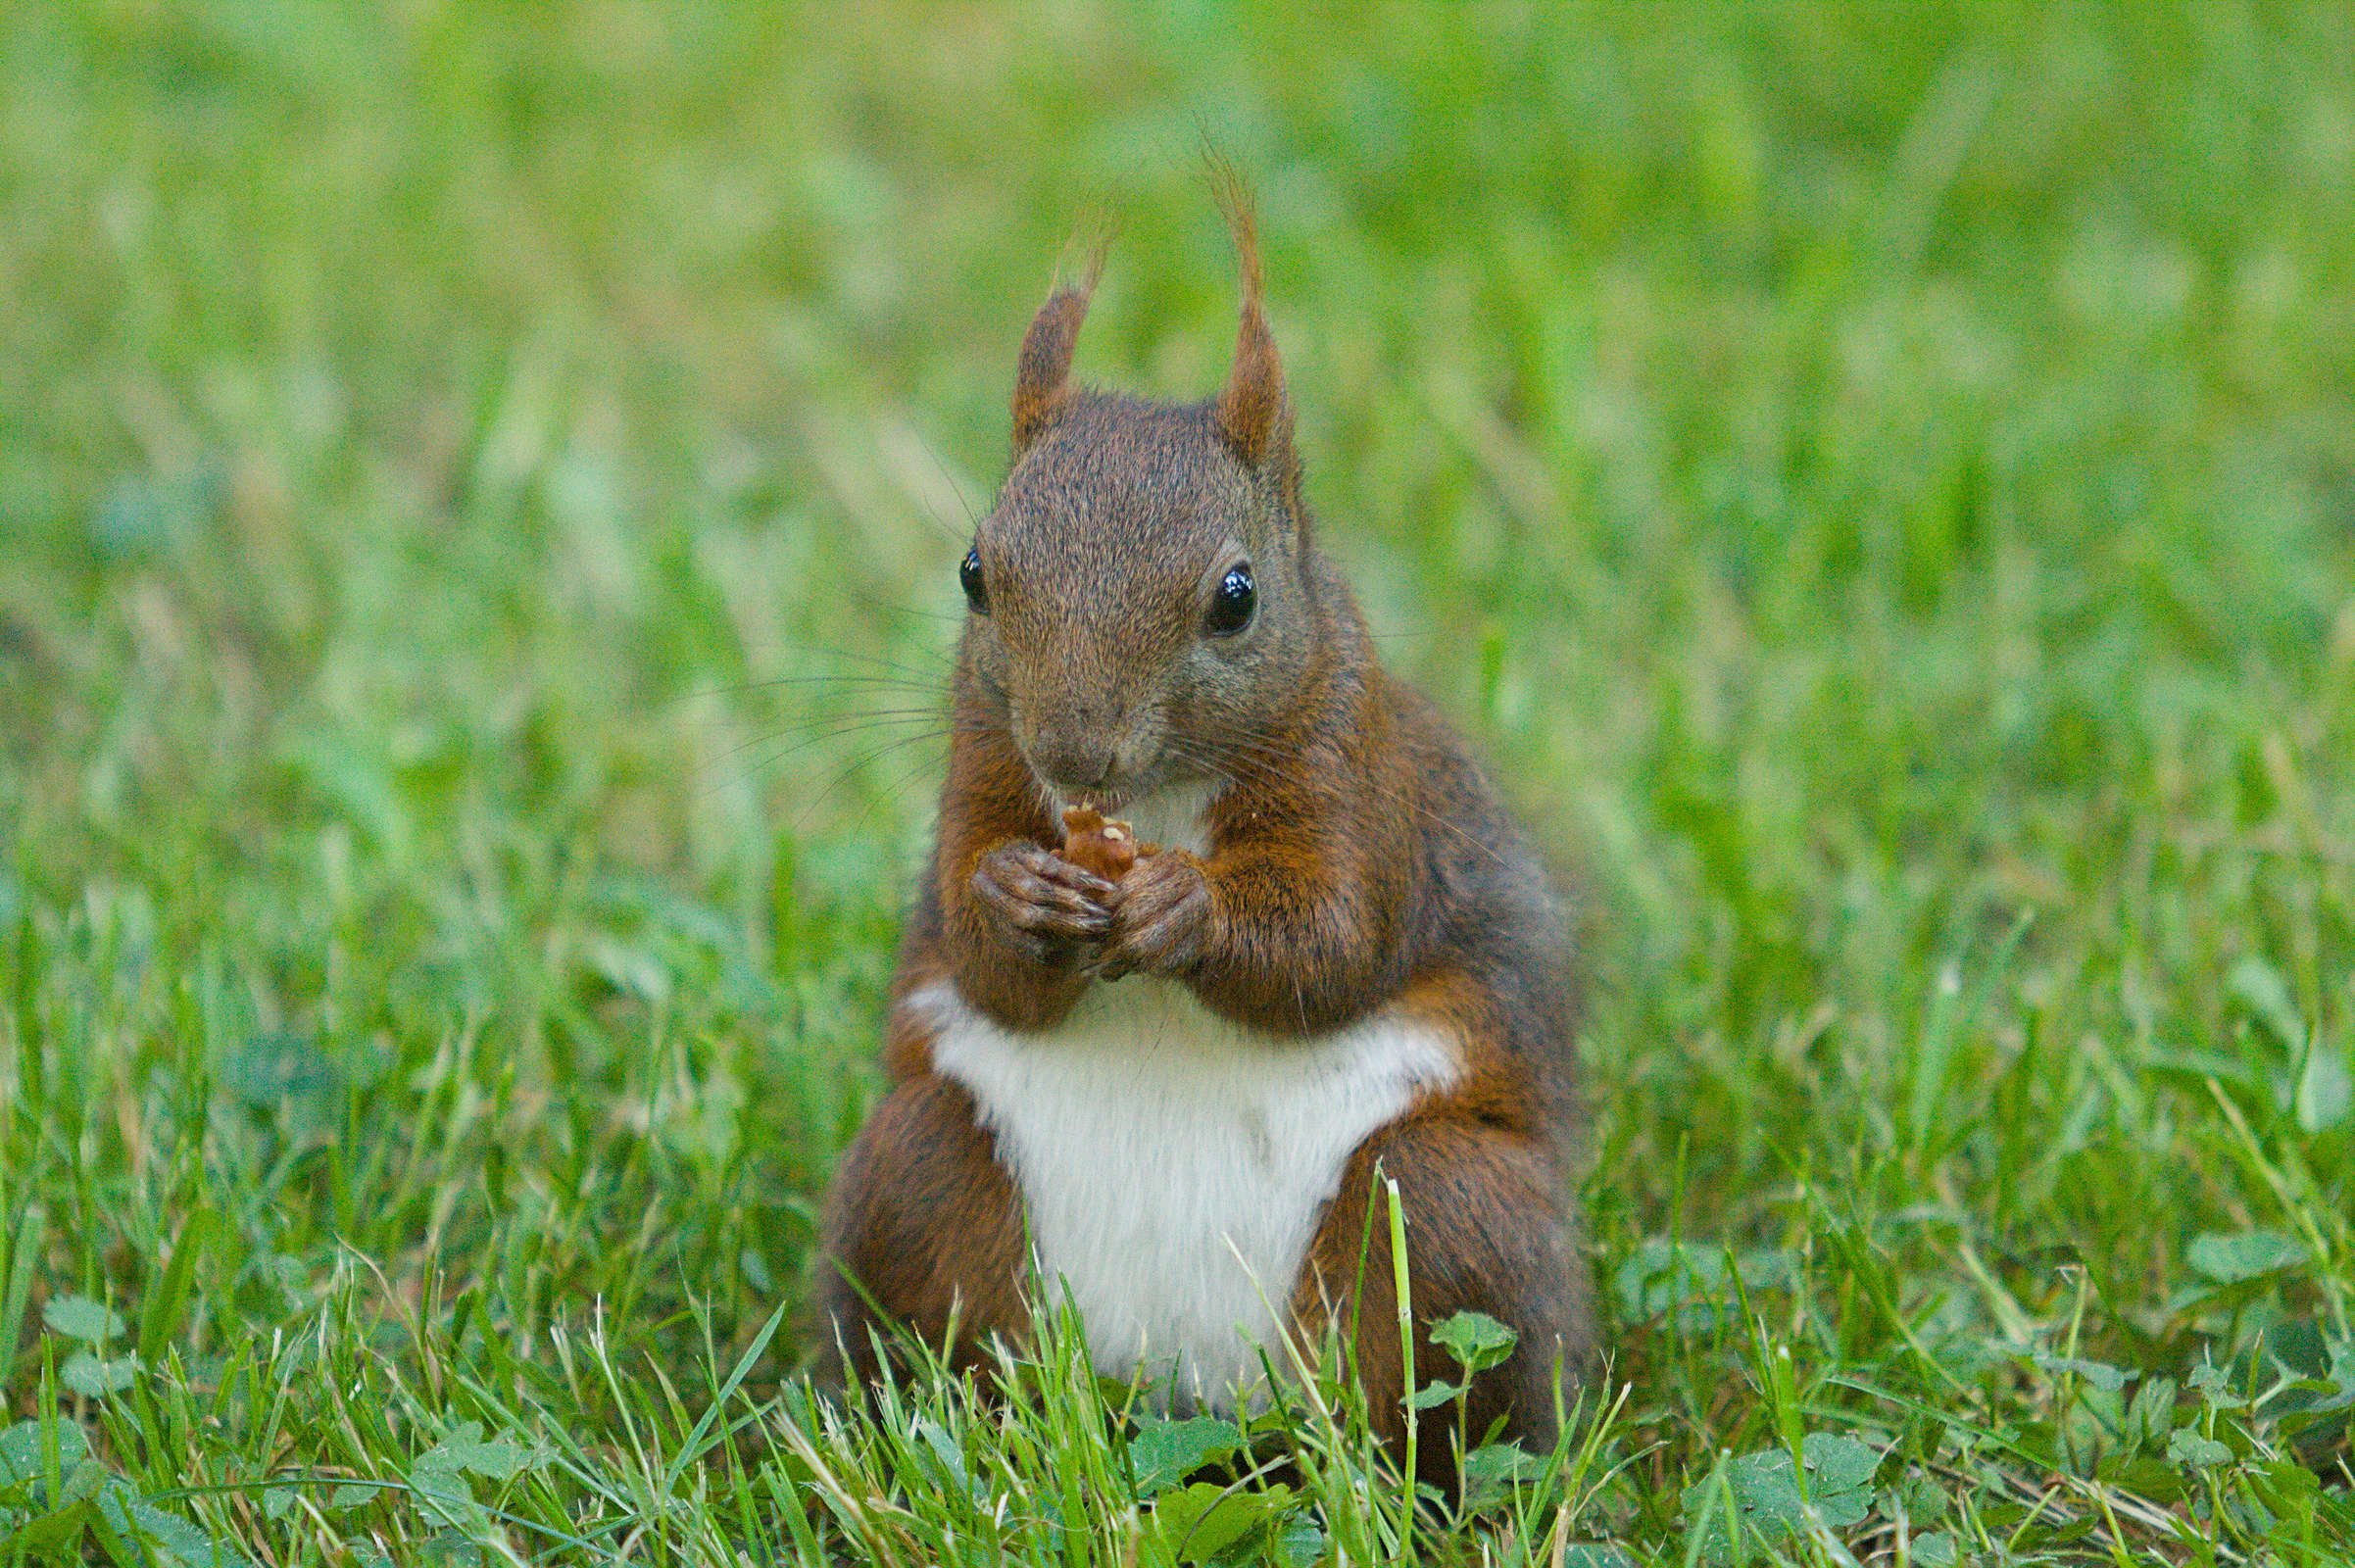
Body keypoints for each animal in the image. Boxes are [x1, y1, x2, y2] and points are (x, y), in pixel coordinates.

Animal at [818, 187, 1594, 1480]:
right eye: (973, 571)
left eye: (1236, 598)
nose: (1073, 750)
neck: (1155, 804)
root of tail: (1182, 1384)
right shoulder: (981, 763)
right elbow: (982, 962)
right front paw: (1014, 899)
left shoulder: (1362, 784)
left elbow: (1332, 942)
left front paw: (1188, 909)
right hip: (919, 1179)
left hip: (1447, 1219)